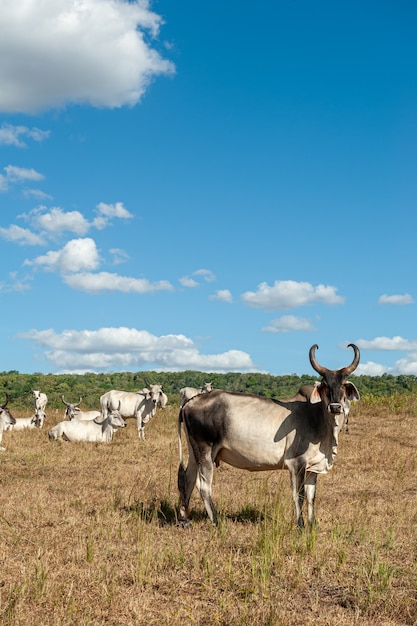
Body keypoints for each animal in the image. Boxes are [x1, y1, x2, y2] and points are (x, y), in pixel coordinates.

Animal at [177, 342, 360, 528]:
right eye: (325, 385)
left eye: (343, 384)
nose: (335, 407)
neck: (317, 419)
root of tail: (191, 401)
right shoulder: (297, 463)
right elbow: (299, 496)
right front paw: (300, 526)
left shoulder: (312, 468)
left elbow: (311, 497)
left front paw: (312, 525)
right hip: (205, 451)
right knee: (203, 485)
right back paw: (216, 521)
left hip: (194, 451)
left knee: (187, 478)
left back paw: (185, 520)